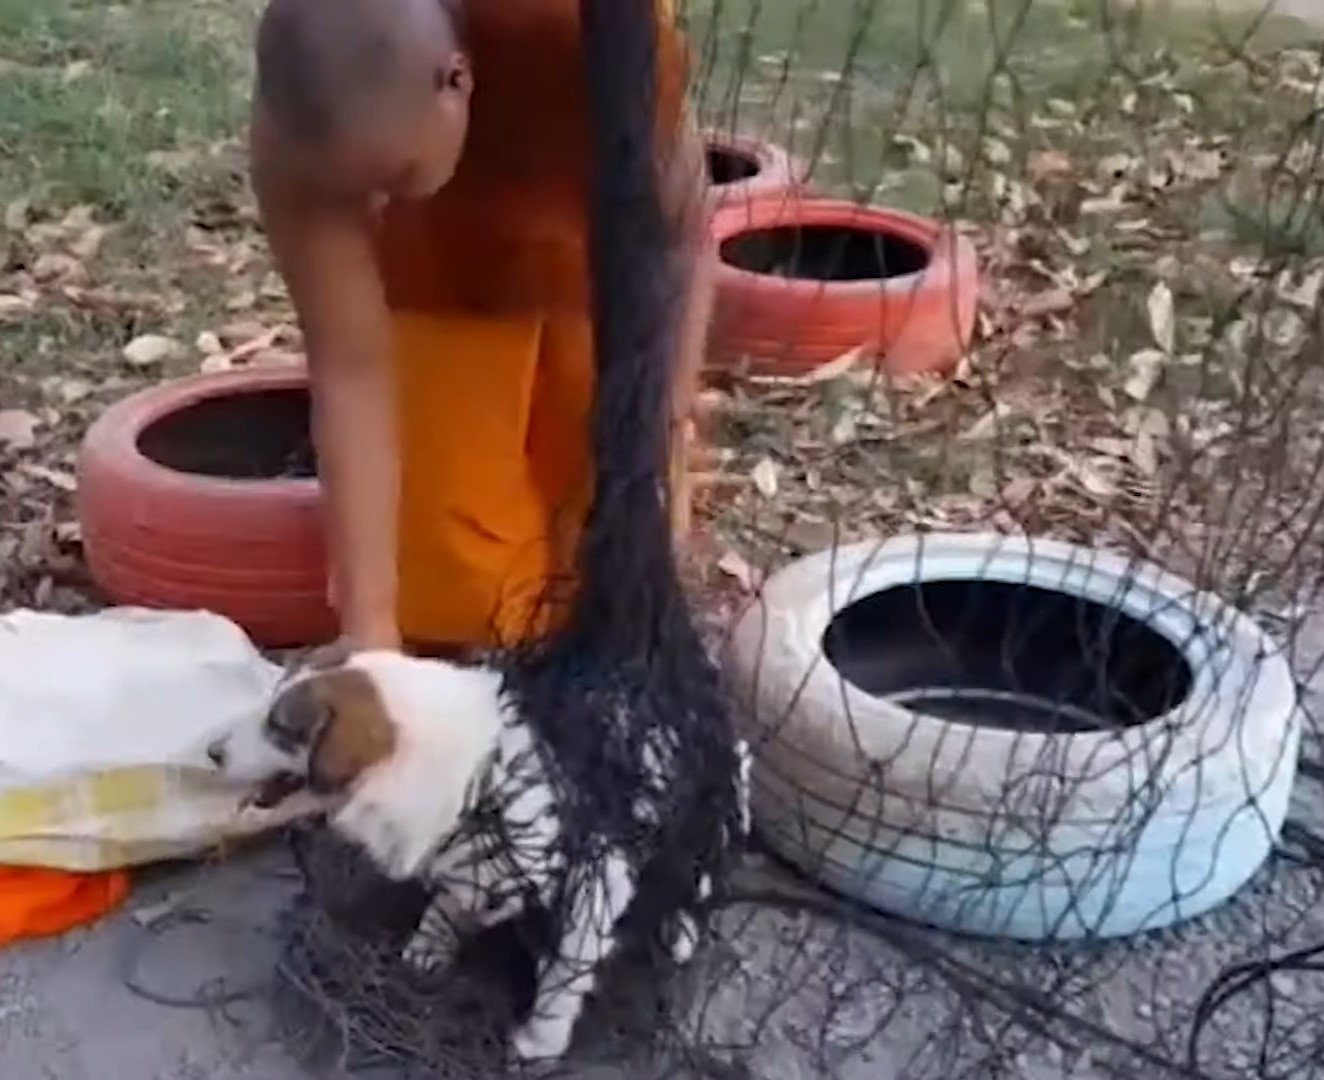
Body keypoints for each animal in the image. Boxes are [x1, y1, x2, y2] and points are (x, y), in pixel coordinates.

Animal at [203, 640, 746, 1064]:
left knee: (701, 879)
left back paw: (681, 929)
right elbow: (452, 897)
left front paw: (539, 1041)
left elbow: (563, 979)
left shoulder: (597, 882)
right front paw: (431, 943)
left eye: (280, 729)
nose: (211, 752)